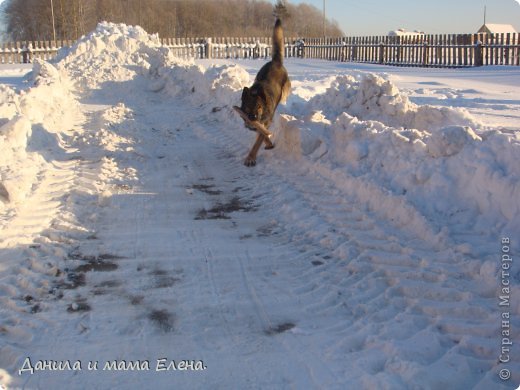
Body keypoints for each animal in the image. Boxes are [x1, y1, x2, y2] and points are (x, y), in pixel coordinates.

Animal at [241, 18, 290, 166]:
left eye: (259, 107)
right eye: (248, 106)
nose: (253, 118)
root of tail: (276, 62)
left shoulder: (265, 121)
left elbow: (259, 140)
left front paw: (251, 157)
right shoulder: (257, 124)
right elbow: (261, 134)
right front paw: (268, 143)